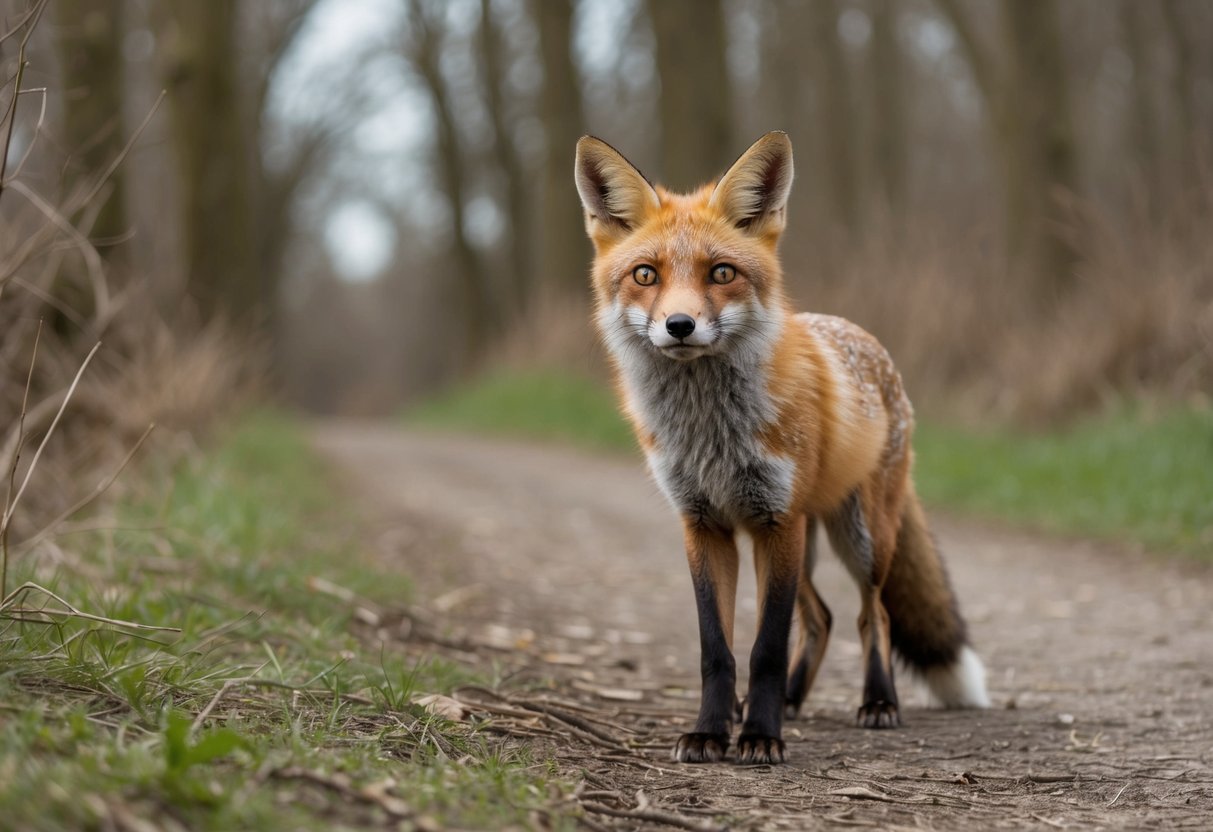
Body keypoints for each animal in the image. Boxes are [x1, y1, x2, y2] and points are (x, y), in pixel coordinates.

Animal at [573, 132, 990, 765]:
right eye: (645, 275)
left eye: (721, 272)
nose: (679, 325)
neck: (711, 434)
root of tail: (865, 339)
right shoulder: (703, 525)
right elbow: (716, 649)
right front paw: (712, 730)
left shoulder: (777, 519)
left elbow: (765, 648)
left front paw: (761, 737)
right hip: (802, 542)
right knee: (821, 618)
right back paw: (790, 701)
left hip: (859, 536)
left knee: (873, 614)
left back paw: (877, 702)